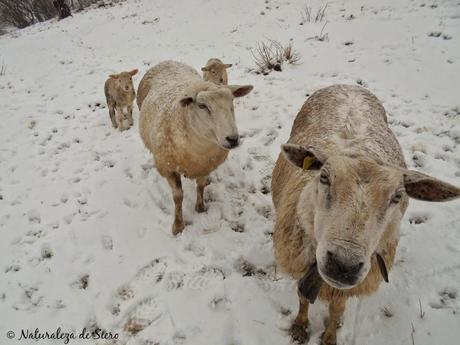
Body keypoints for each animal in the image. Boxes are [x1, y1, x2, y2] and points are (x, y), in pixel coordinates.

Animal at [138, 61, 253, 234]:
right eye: (202, 105)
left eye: (232, 101)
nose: (233, 139)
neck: (199, 150)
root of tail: (168, 61)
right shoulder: (169, 168)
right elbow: (178, 196)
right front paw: (178, 225)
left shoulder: (205, 165)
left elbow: (200, 186)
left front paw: (200, 207)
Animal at [270, 84, 460, 344]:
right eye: (324, 177)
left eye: (397, 196)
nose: (343, 265)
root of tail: (349, 85)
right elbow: (302, 298)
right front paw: (299, 326)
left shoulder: (347, 285)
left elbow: (337, 309)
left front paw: (330, 336)